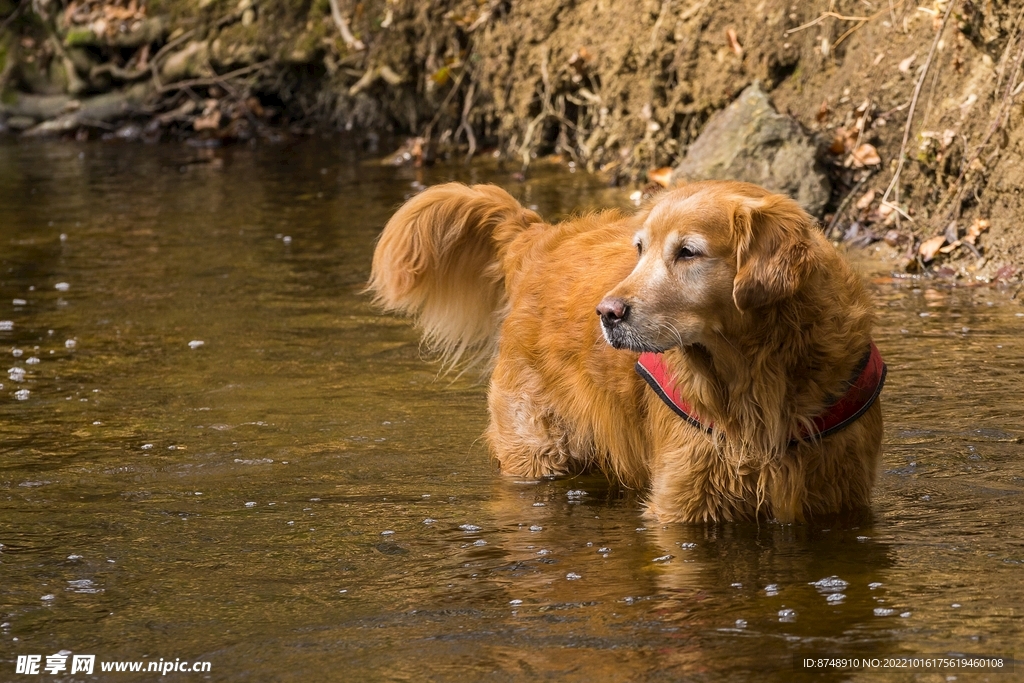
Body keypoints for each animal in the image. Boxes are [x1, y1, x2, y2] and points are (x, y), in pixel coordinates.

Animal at [366, 181, 880, 524]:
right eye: (639, 249)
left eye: (688, 252)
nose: (607, 312)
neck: (756, 368)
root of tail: (537, 238)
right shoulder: (683, 497)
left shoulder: (837, 490)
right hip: (536, 447)